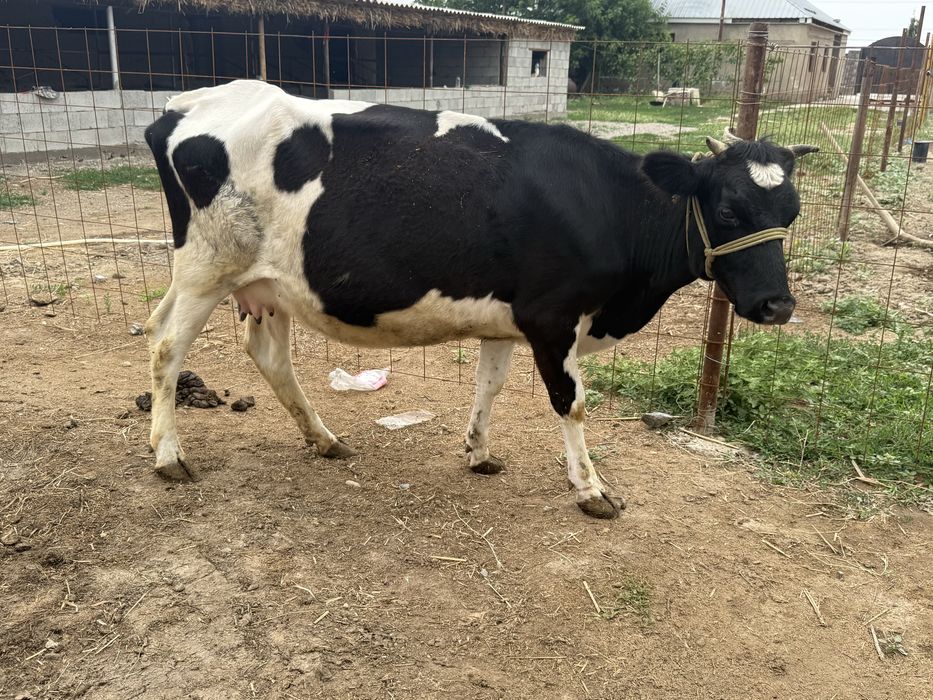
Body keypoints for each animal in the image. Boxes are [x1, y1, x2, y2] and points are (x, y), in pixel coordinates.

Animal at [143, 80, 816, 519]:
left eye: (792, 212)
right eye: (727, 210)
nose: (777, 307)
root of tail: (188, 103)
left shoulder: (506, 319)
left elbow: (489, 383)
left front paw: (479, 453)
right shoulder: (553, 317)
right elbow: (571, 404)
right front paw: (592, 490)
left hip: (269, 285)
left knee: (269, 355)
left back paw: (324, 438)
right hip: (205, 269)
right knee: (166, 346)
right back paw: (169, 456)